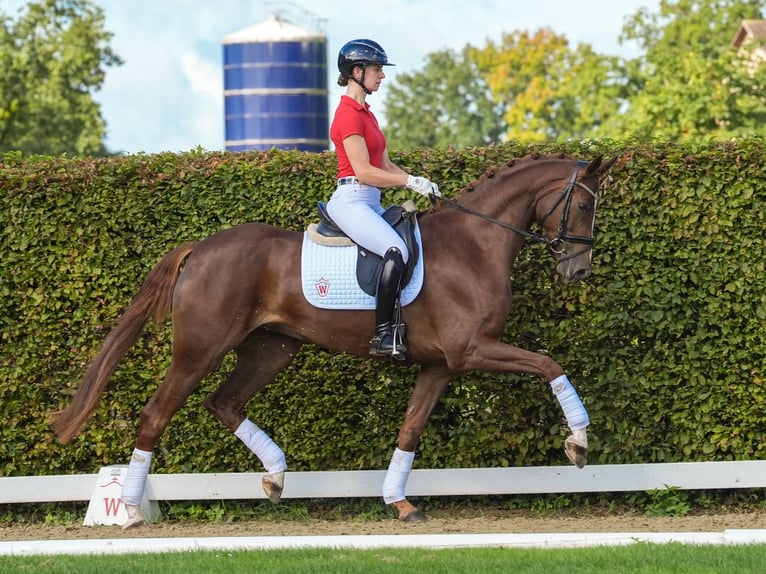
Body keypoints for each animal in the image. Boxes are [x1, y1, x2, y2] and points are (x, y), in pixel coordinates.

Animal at [51, 154, 616, 532]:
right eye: (584, 205)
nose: (580, 271)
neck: (475, 244)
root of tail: (202, 248)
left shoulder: (440, 366)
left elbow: (410, 430)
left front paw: (399, 502)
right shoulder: (472, 350)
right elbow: (548, 364)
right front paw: (579, 443)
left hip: (272, 349)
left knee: (225, 402)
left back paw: (276, 478)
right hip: (199, 350)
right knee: (156, 414)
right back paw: (128, 508)